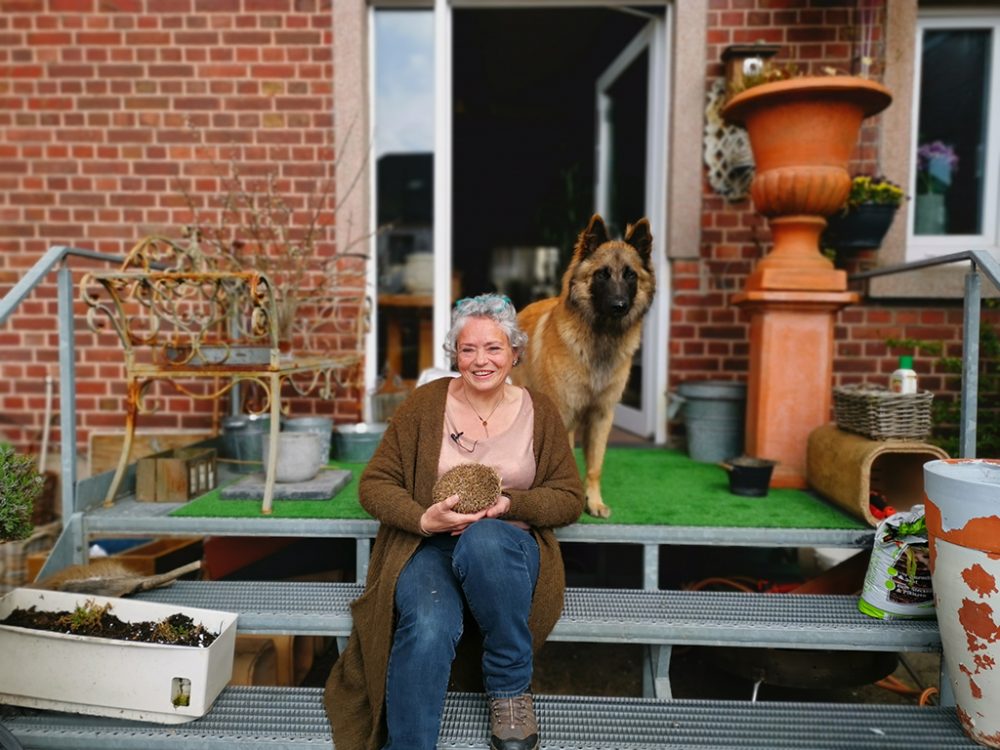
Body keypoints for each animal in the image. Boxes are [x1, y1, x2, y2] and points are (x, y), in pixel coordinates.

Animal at [516, 212, 656, 516]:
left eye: (630, 274)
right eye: (602, 274)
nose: (619, 306)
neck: (599, 339)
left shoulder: (601, 416)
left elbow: (595, 466)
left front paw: (594, 502)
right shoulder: (565, 415)